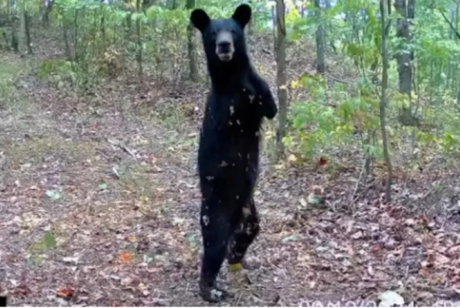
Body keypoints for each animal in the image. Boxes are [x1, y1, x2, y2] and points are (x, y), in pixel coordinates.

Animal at [190, 3, 276, 304]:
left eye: (233, 30)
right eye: (213, 33)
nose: (224, 45)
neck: (230, 76)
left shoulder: (260, 93)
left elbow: (269, 103)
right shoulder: (226, 107)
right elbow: (236, 111)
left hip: (248, 206)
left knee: (249, 230)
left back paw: (237, 257)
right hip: (217, 208)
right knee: (213, 247)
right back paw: (211, 290)